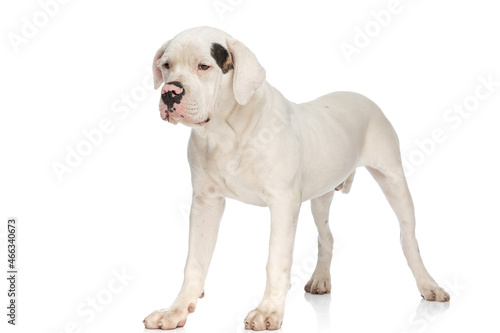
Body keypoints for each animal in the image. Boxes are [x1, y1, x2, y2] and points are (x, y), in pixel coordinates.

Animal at [143, 26, 452, 330]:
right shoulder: (206, 203)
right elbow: (194, 262)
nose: (170, 92)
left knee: (408, 238)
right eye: (166, 65)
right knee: (326, 237)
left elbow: (276, 260)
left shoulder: (282, 203)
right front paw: (176, 308)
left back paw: (429, 285)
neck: (225, 130)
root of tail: (360, 95)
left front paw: (268, 311)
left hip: (394, 181)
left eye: (204, 66)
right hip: (321, 196)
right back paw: (321, 279)